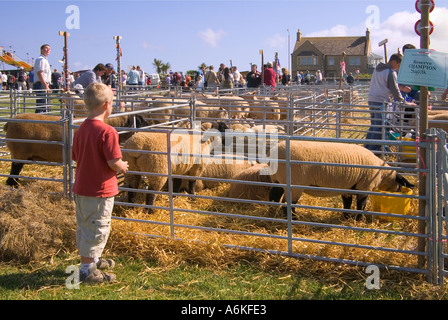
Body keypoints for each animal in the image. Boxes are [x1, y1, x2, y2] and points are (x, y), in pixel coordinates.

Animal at [268, 140, 414, 220]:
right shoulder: (364, 187)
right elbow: (361, 205)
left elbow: (347, 203)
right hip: (294, 184)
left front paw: (346, 217)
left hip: (277, 179)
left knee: (273, 197)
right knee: (287, 204)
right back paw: (293, 218)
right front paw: (359, 220)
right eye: (400, 185)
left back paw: (271, 213)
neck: (381, 172)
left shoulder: (348, 187)